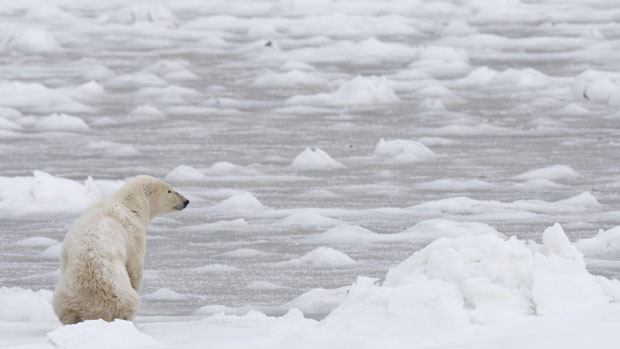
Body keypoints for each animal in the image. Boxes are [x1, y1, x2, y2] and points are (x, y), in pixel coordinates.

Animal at [51, 175, 188, 324]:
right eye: (169, 190)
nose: (186, 201)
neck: (128, 205)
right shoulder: (135, 236)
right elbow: (135, 269)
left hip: (64, 298)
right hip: (121, 295)